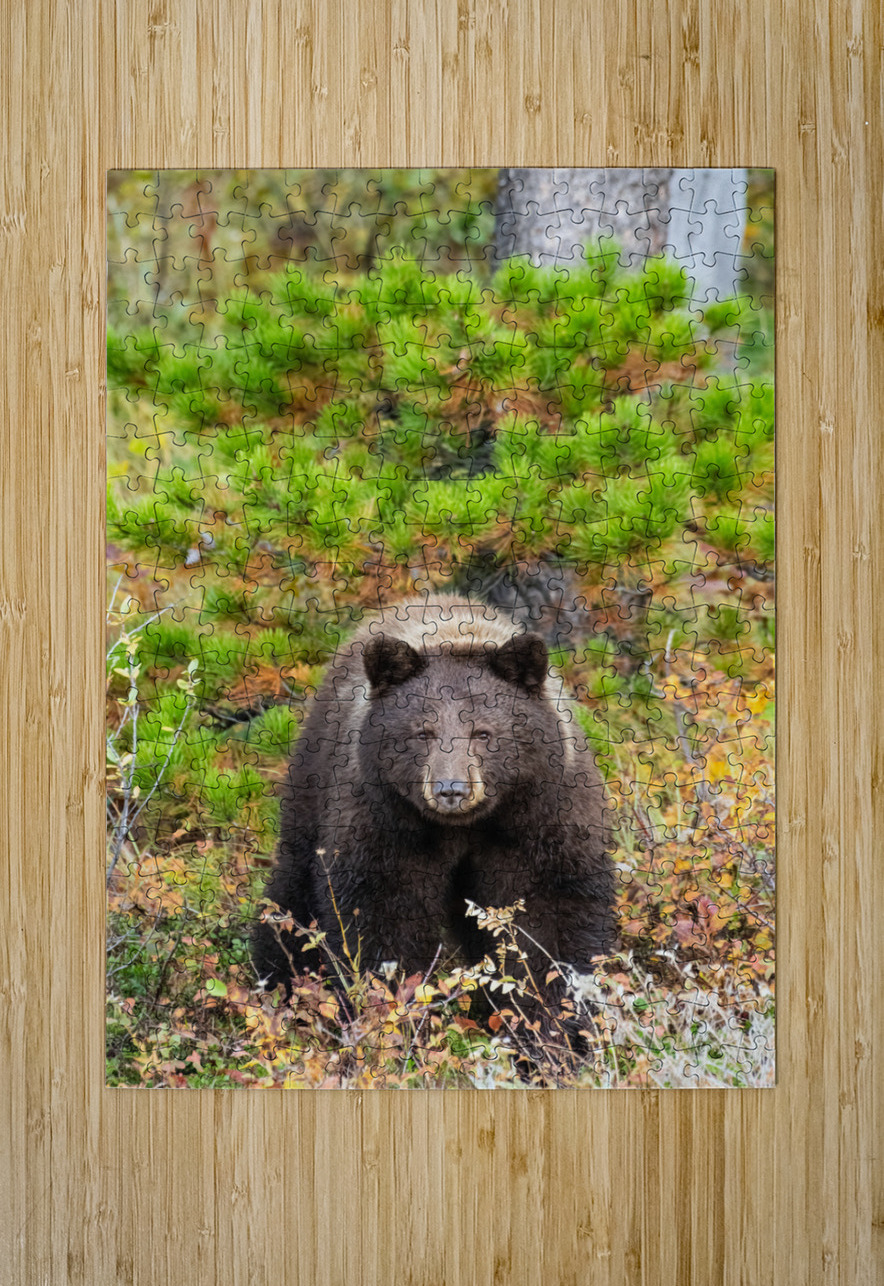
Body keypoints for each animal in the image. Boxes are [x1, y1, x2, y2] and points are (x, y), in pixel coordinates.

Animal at [251, 595, 616, 1029]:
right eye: (423, 732)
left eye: (483, 733)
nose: (451, 790)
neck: (466, 827)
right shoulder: (385, 819)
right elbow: (383, 913)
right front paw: (390, 1006)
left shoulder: (542, 815)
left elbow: (548, 916)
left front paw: (554, 1019)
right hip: (314, 780)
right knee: (293, 886)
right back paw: (278, 977)